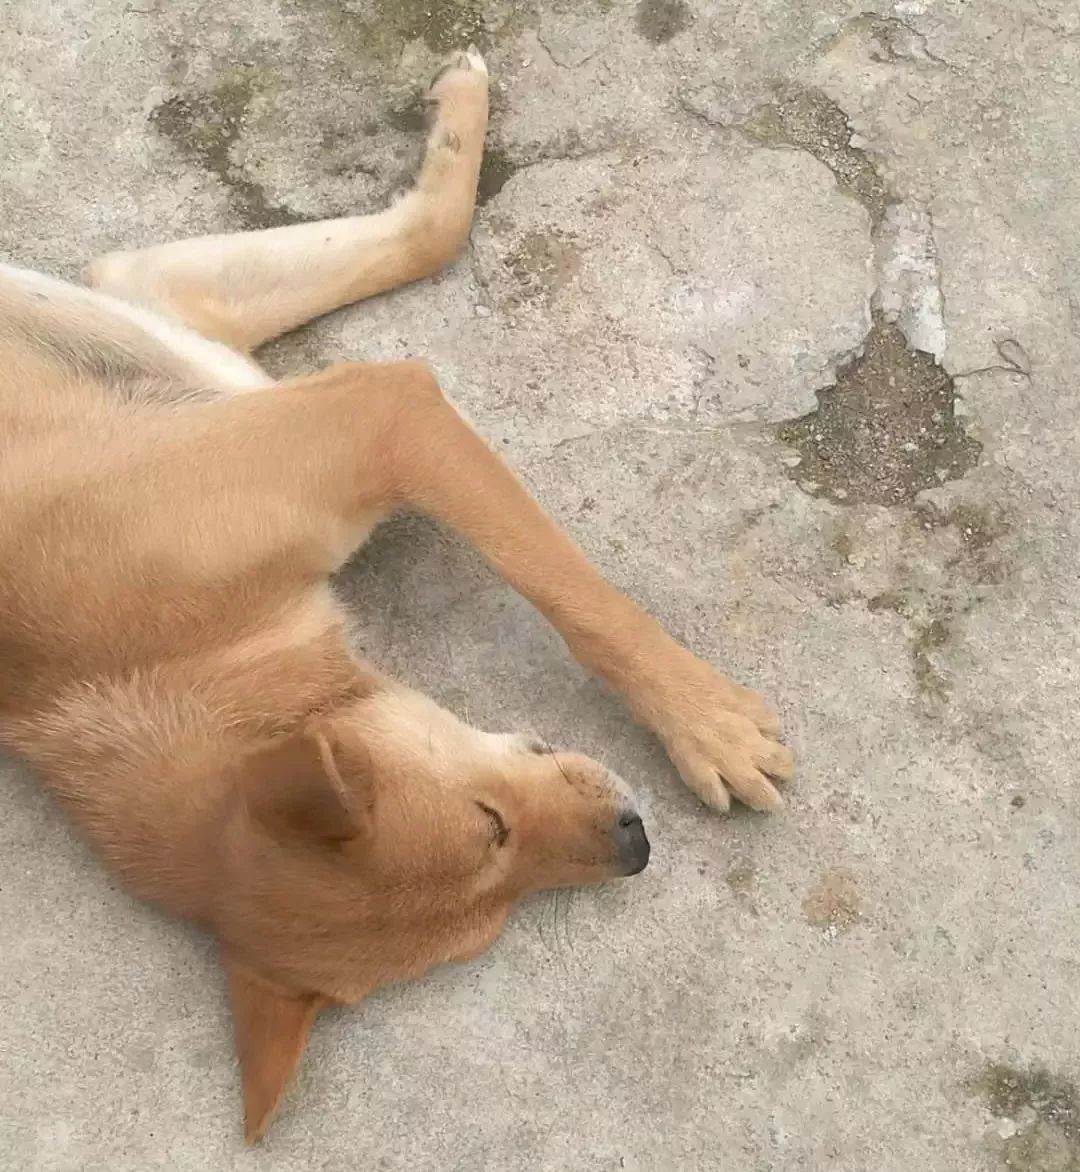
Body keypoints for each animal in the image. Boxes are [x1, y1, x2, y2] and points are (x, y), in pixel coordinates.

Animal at [0, 48, 793, 1142]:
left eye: (487, 821)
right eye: (487, 913)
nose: (635, 847)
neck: (169, 654)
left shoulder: (372, 408)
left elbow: (575, 594)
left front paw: (702, 720)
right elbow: (423, 239)